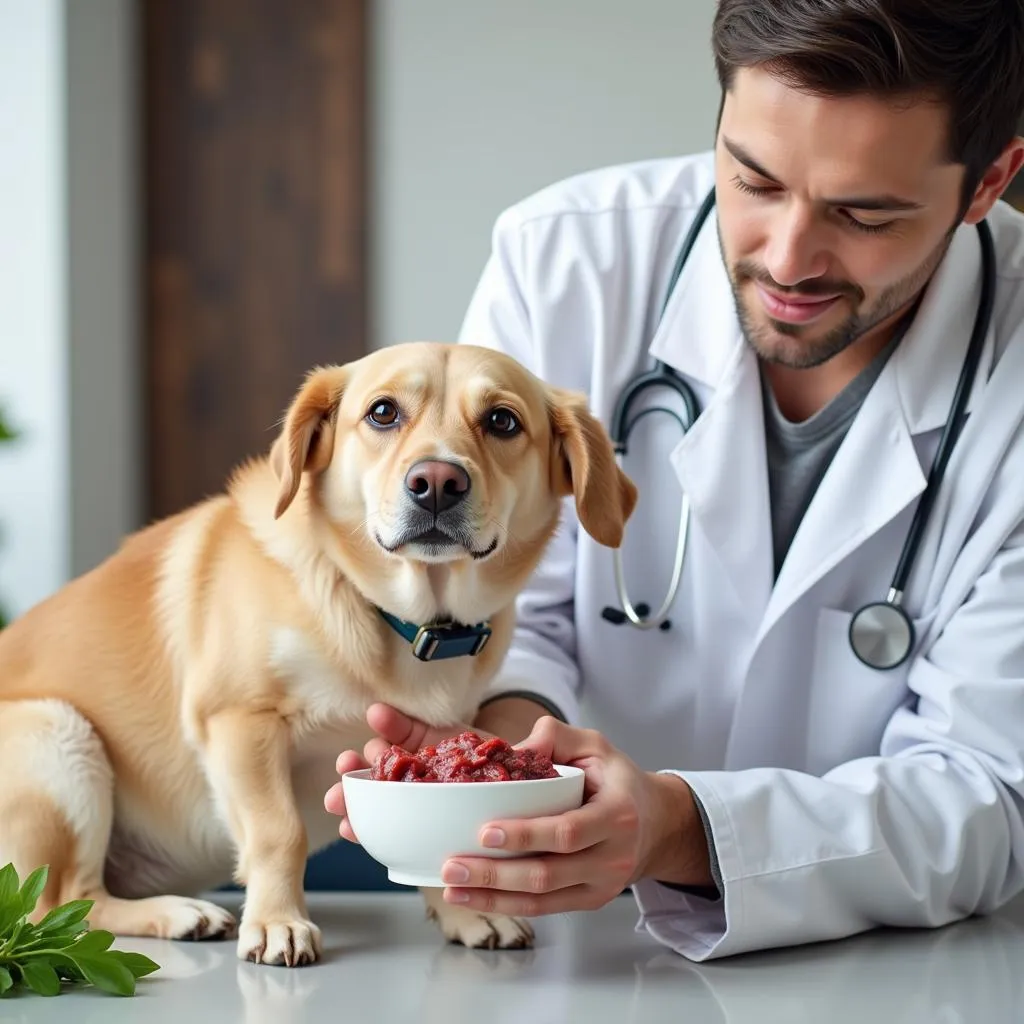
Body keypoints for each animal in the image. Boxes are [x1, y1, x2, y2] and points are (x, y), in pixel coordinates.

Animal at [0, 339, 634, 962]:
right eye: (383, 412)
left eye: (502, 421)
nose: (436, 482)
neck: (399, 618)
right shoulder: (238, 720)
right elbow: (279, 833)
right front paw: (277, 923)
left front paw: (464, 909)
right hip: (59, 734)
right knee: (65, 904)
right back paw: (179, 913)